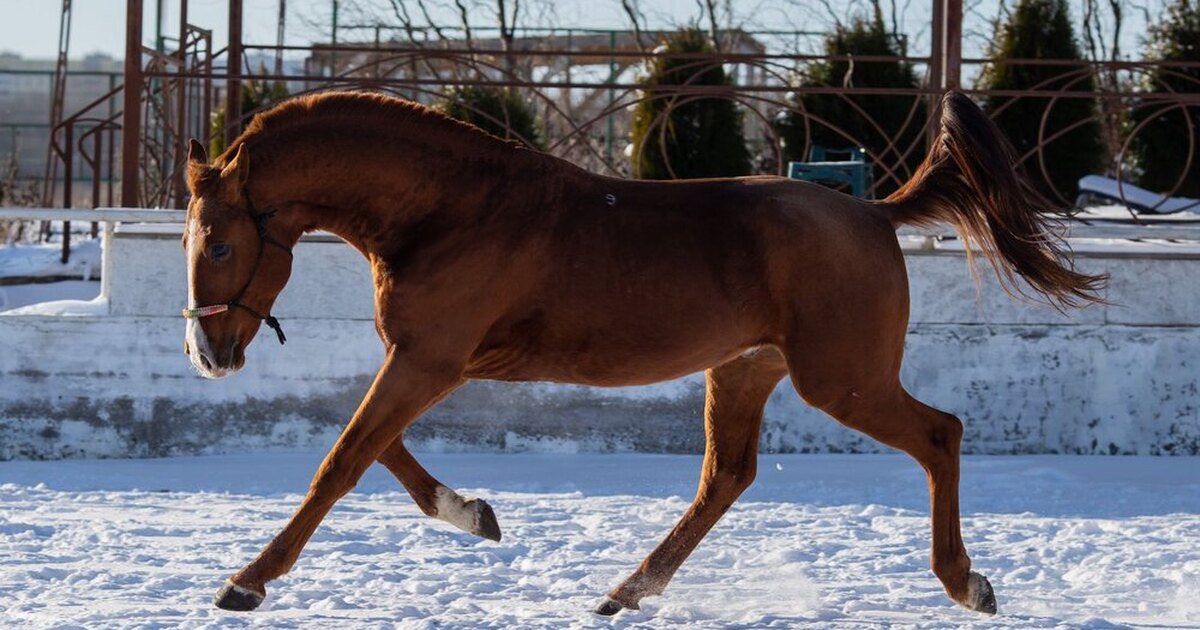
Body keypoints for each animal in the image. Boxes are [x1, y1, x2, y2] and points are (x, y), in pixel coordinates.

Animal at [180, 89, 1104, 614]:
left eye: (220, 244)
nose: (208, 353)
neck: (453, 211)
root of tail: (875, 212)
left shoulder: (428, 361)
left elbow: (343, 459)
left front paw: (247, 581)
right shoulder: (426, 362)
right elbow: (379, 451)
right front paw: (473, 513)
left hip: (841, 380)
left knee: (941, 433)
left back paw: (966, 583)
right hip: (745, 369)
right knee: (726, 477)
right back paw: (627, 590)